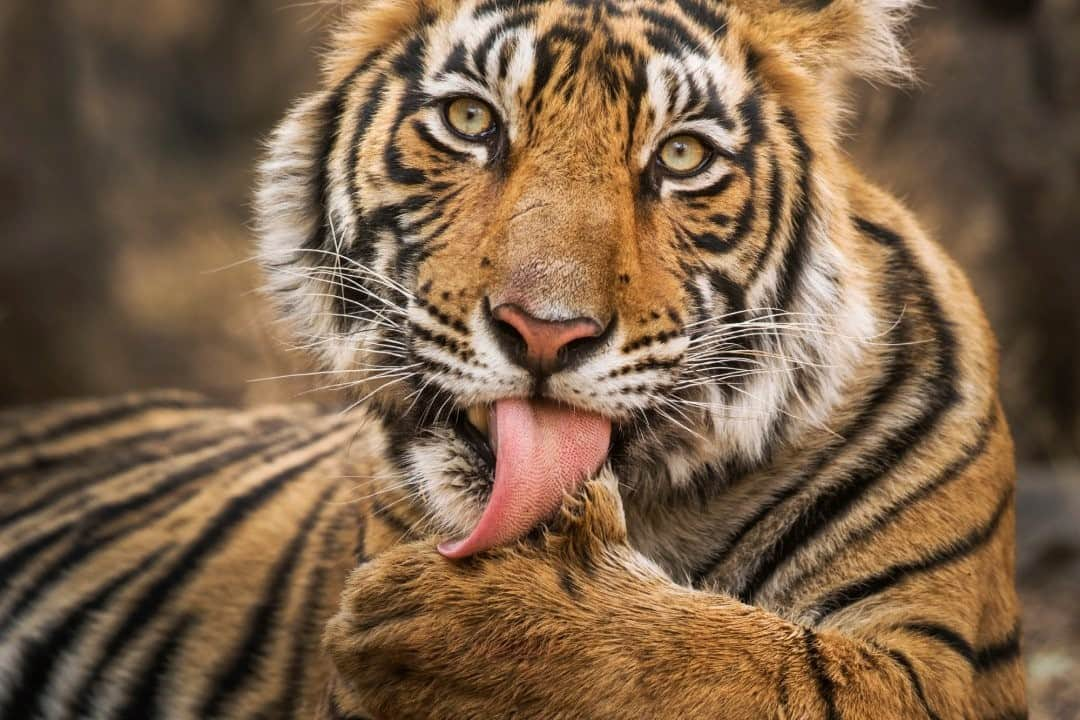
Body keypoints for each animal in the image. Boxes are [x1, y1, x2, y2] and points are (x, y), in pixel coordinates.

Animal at [0, 0, 1023, 716]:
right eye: (470, 121)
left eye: (682, 156)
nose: (544, 331)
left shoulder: (932, 665)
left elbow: (764, 669)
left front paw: (473, 636)